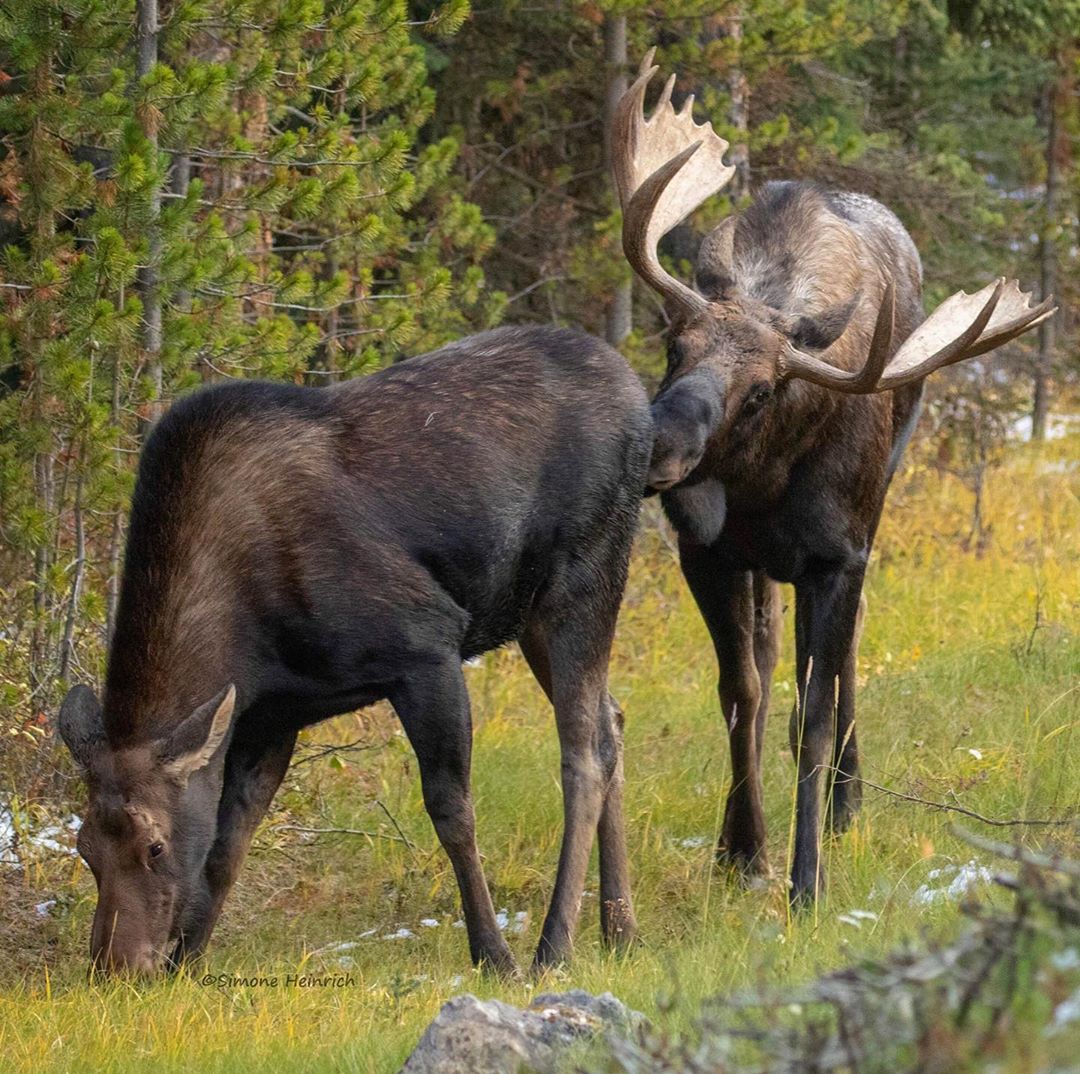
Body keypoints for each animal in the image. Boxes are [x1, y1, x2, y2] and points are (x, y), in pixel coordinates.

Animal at [56, 324, 648, 972]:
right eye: (84, 847)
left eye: (155, 845)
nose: (114, 966)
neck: (243, 638)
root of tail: (636, 391)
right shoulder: (272, 713)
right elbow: (227, 844)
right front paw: (186, 961)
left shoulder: (428, 647)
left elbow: (453, 813)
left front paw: (493, 955)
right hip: (533, 611)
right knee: (612, 721)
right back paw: (620, 929)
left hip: (584, 576)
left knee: (582, 754)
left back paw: (554, 945)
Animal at [617, 52, 1054, 903]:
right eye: (674, 348)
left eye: (762, 391)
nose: (658, 452)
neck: (763, 486)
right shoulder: (707, 551)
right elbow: (740, 692)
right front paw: (743, 850)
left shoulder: (837, 555)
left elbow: (818, 716)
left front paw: (807, 879)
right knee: (771, 661)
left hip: (873, 511)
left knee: (841, 661)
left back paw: (849, 805)